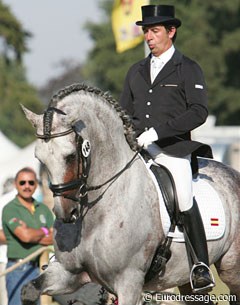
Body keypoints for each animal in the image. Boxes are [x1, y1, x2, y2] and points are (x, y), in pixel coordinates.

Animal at [21, 83, 240, 304]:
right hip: (186, 278)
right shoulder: (68, 272)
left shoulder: (129, 282)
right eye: (39, 158)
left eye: (71, 156)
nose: (65, 214)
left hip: (232, 270)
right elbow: (28, 290)